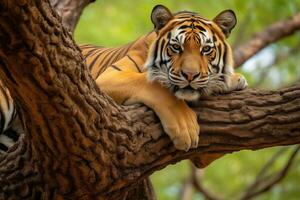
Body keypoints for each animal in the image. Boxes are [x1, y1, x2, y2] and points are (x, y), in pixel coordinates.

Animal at [81, 4, 247, 152]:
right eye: (176, 47)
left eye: (206, 49)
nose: (190, 75)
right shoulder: (109, 76)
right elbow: (154, 84)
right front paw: (185, 127)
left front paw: (233, 79)